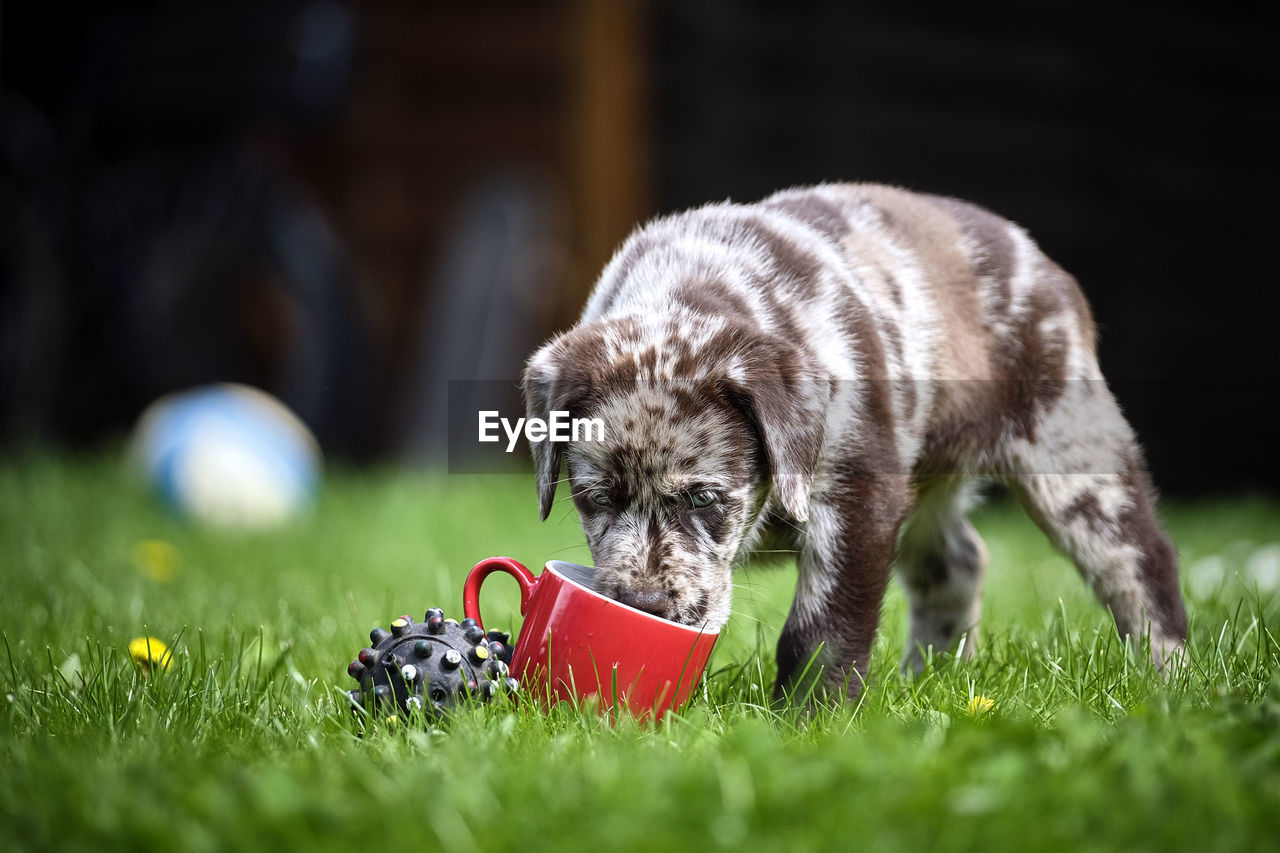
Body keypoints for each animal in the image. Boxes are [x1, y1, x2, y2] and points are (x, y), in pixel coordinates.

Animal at [522, 183, 1187, 701]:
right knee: (957, 563)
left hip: (1073, 457)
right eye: (595, 499)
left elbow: (822, 629)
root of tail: (1042, 262)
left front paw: (810, 720)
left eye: (704, 500)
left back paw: (1167, 680)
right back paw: (929, 676)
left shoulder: (857, 496)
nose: (645, 605)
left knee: (1141, 564)